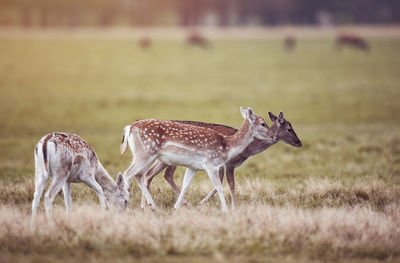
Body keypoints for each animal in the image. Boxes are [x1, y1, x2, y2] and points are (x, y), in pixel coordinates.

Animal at [120, 107, 274, 212]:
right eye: (263, 123)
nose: (273, 136)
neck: (228, 146)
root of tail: (129, 127)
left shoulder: (193, 167)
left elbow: (186, 185)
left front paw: (176, 207)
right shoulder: (211, 164)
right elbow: (219, 186)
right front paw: (225, 210)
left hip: (145, 155)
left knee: (139, 175)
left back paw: (152, 206)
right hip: (145, 153)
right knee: (128, 174)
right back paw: (127, 205)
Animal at [142, 111, 302, 208]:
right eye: (289, 128)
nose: (299, 142)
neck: (248, 150)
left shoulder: (220, 165)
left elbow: (219, 184)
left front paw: (202, 203)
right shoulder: (228, 164)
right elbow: (230, 184)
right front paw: (233, 207)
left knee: (157, 175)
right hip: (164, 159)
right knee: (155, 174)